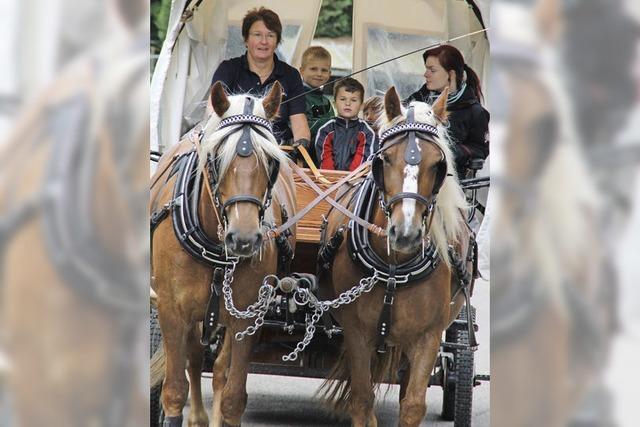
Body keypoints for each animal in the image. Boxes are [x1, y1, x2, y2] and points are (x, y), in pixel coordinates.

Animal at [151, 82, 298, 426]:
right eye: (216, 158)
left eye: (272, 162)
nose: (243, 239)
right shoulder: (170, 309)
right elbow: (174, 389)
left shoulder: (248, 317)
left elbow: (232, 396)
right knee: (193, 358)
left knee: (219, 371)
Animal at [320, 88, 476, 427]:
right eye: (385, 159)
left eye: (438, 164)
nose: (406, 234)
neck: (394, 268)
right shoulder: (356, 332)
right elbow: (362, 400)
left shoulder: (428, 336)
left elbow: (413, 405)